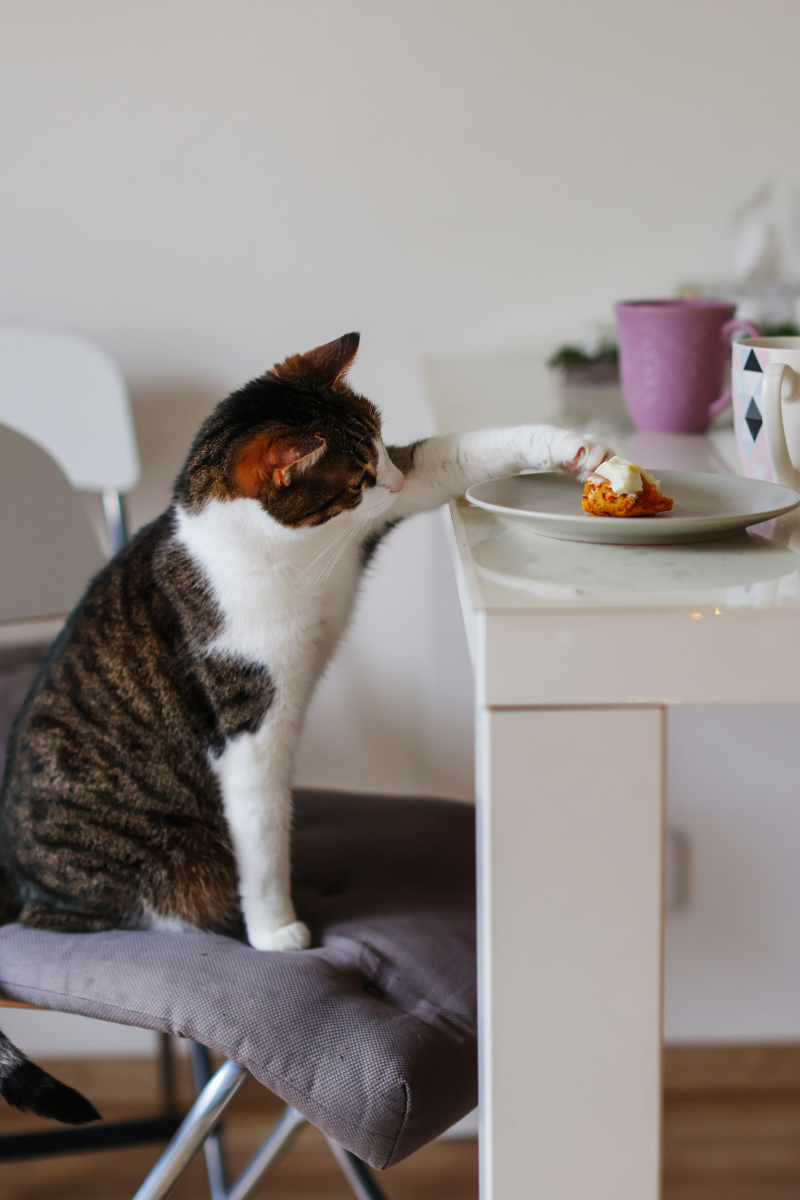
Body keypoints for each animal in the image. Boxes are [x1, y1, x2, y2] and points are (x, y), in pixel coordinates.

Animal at [0, 333, 609, 1118]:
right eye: (355, 476)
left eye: (381, 444)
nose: (388, 480)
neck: (284, 554)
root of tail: (13, 876)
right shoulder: (250, 726)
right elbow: (262, 831)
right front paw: (275, 931)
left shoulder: (385, 508)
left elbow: (457, 453)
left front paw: (575, 449)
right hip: (164, 865)